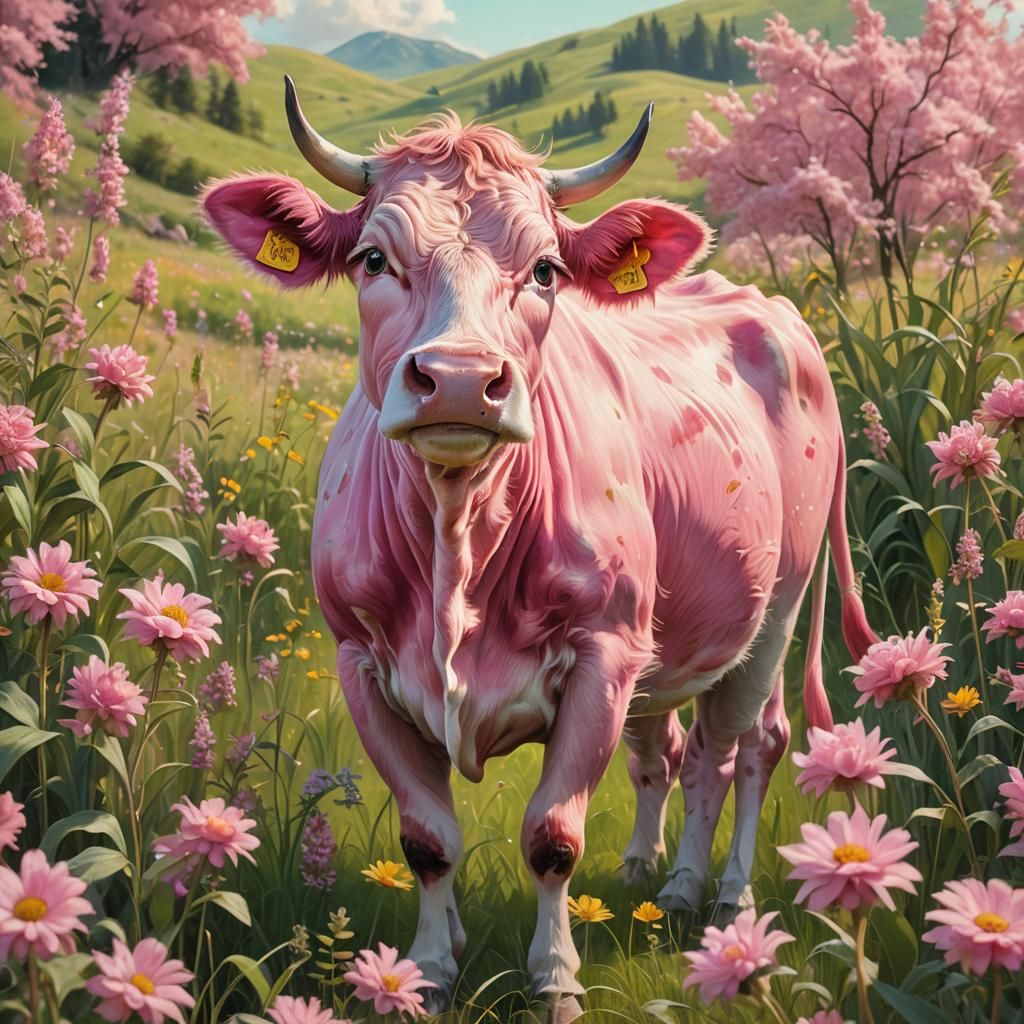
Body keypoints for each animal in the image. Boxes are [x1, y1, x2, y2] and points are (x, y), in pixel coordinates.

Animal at [202, 77, 877, 1021]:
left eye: (547, 270)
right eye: (373, 260)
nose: (457, 380)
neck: (459, 545)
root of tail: (768, 306)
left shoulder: (602, 653)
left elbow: (553, 835)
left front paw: (555, 979)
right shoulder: (359, 663)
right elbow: (428, 837)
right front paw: (432, 966)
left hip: (775, 609)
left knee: (745, 747)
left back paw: (714, 894)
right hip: (671, 634)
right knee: (669, 749)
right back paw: (644, 871)